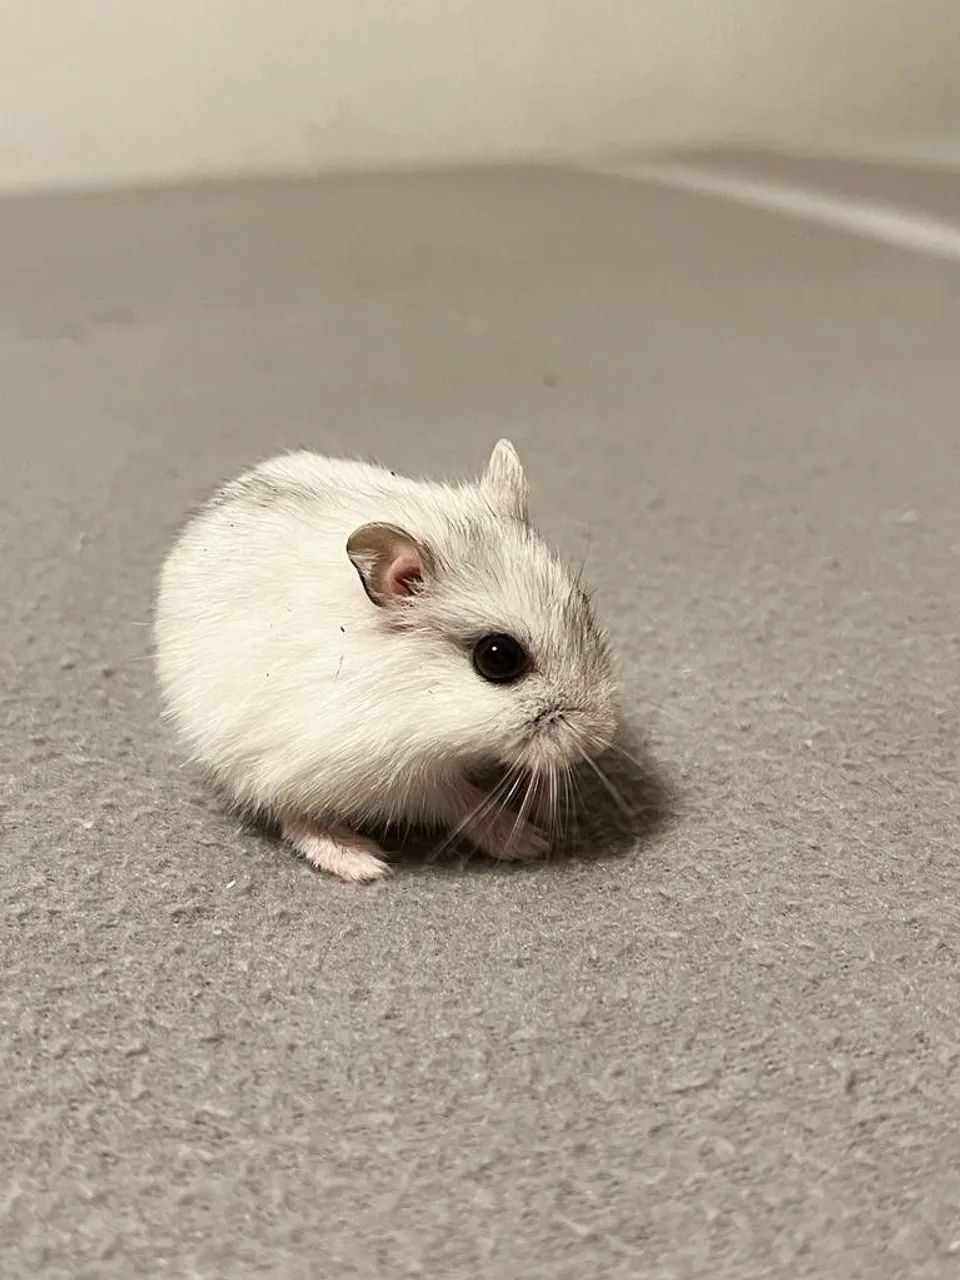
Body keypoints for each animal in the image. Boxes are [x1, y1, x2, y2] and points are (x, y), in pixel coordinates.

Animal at [154, 441, 619, 882]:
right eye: (498, 657)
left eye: (583, 603)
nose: (602, 738)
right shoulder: (403, 779)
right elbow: (462, 801)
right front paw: (529, 841)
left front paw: (539, 806)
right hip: (259, 766)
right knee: (293, 815)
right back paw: (359, 862)